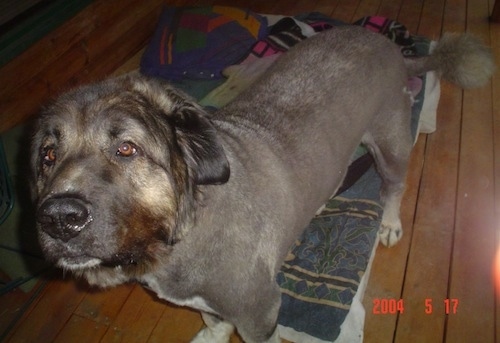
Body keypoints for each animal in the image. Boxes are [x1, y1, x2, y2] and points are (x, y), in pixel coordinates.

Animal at [31, 25, 492, 342]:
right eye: (47, 156)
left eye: (127, 148)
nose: (58, 218)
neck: (186, 230)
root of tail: (389, 44)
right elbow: (213, 319)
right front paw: (210, 335)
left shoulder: (262, 313)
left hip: (391, 142)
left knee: (393, 186)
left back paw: (391, 222)